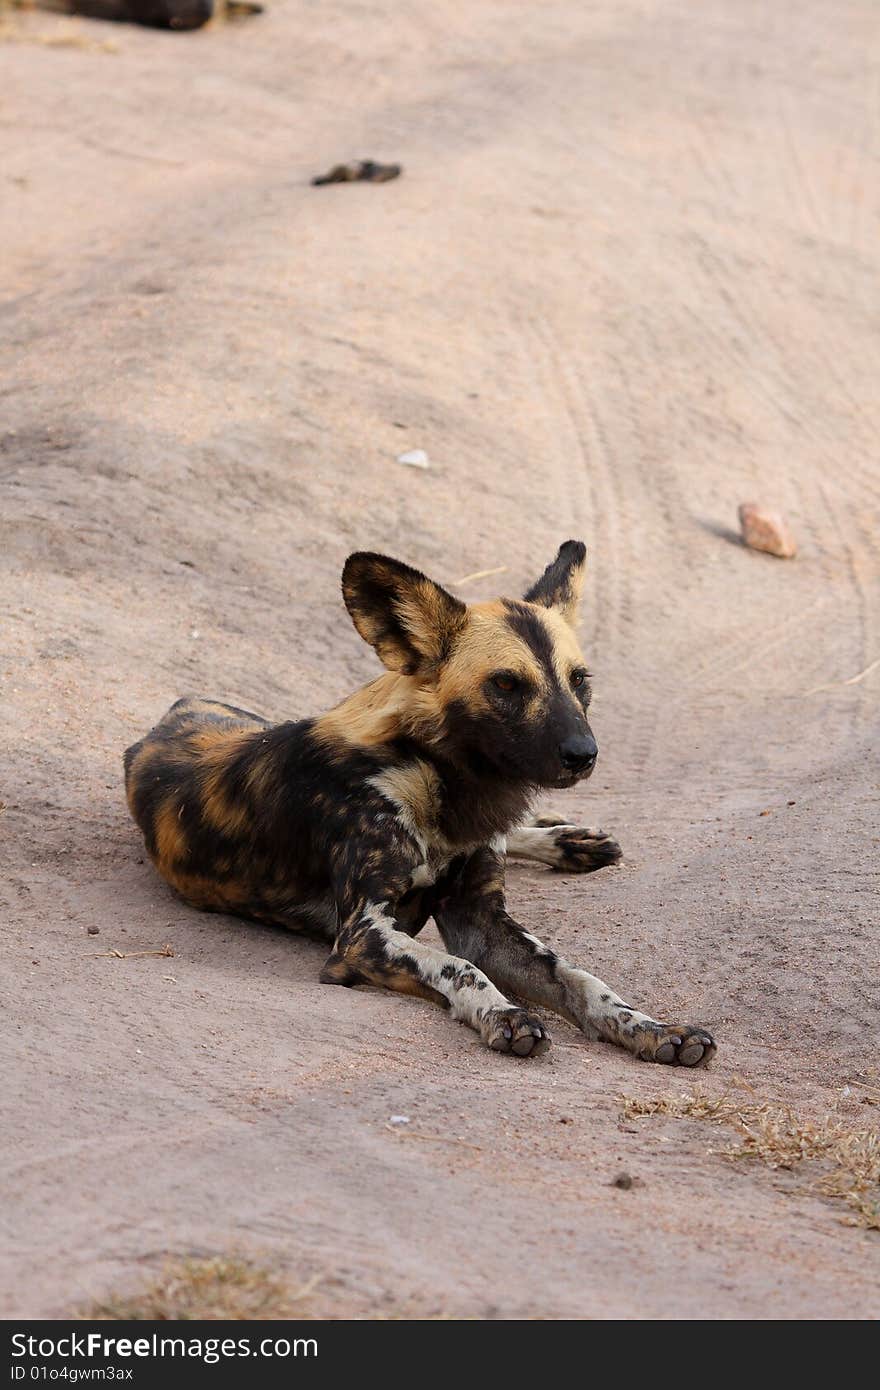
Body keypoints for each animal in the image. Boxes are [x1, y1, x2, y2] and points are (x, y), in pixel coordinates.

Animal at [123, 542, 711, 1061]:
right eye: (506, 684)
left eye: (580, 680)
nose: (583, 754)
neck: (449, 787)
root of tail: (176, 709)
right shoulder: (363, 936)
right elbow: (462, 969)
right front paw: (506, 1014)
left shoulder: (480, 919)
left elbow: (582, 978)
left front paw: (652, 1028)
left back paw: (569, 839)